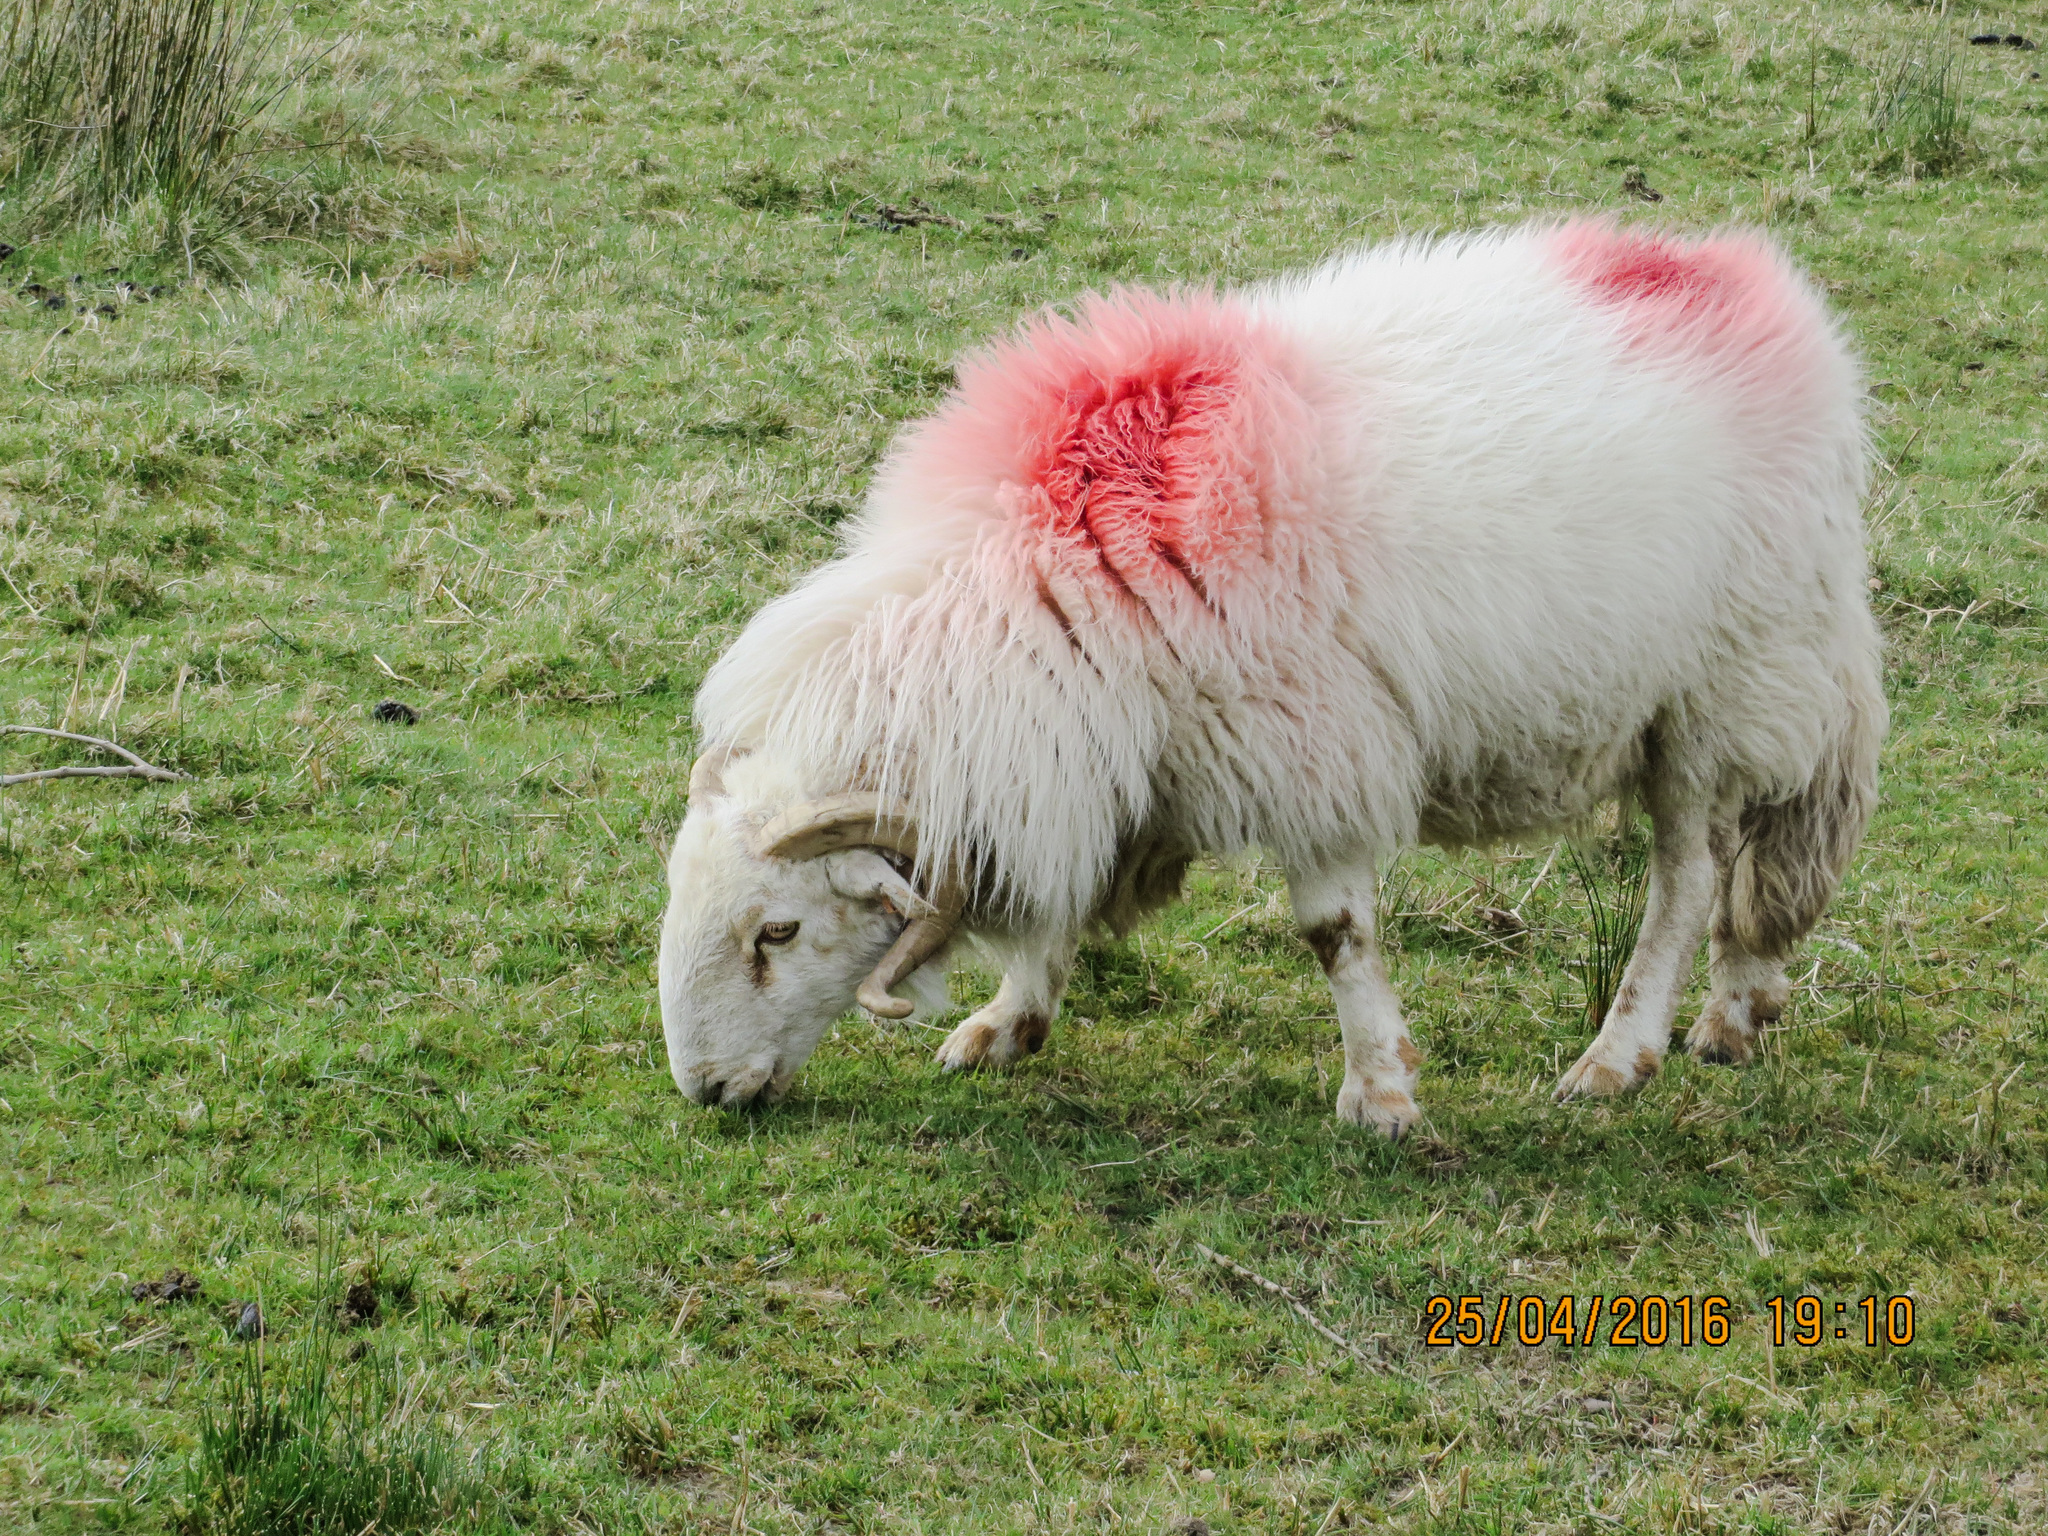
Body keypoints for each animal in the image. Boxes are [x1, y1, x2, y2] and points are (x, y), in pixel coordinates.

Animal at [659, 217, 1884, 1138]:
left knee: (1687, 881)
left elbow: (1335, 934)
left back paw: (1618, 1054)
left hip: (1719, 692)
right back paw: (1736, 1013)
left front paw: (1379, 1096)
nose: (705, 1091)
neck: (1042, 568)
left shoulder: (1307, 742)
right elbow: (1063, 896)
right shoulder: (1106, 755)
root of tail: (1759, 290)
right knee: (1747, 868)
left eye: (776, 933)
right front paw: (1010, 1022)